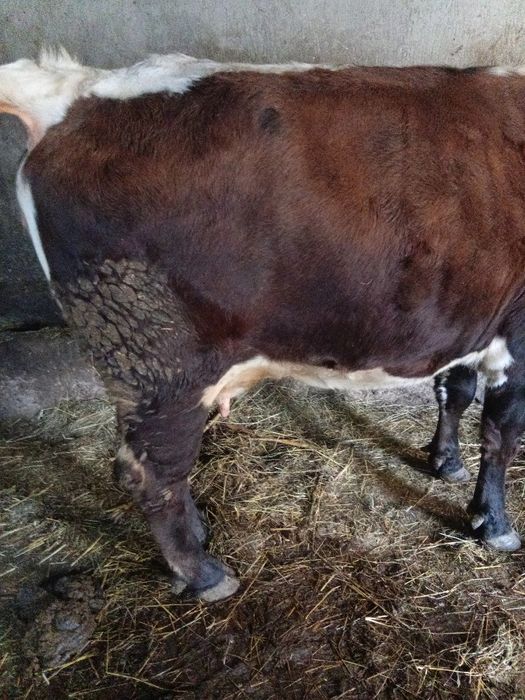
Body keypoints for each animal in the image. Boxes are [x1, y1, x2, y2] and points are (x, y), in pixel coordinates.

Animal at [1, 49, 524, 601]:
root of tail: (77, 91)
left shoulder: (468, 318)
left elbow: (455, 392)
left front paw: (445, 462)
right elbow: (501, 434)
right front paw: (494, 523)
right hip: (153, 355)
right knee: (148, 471)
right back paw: (203, 573)